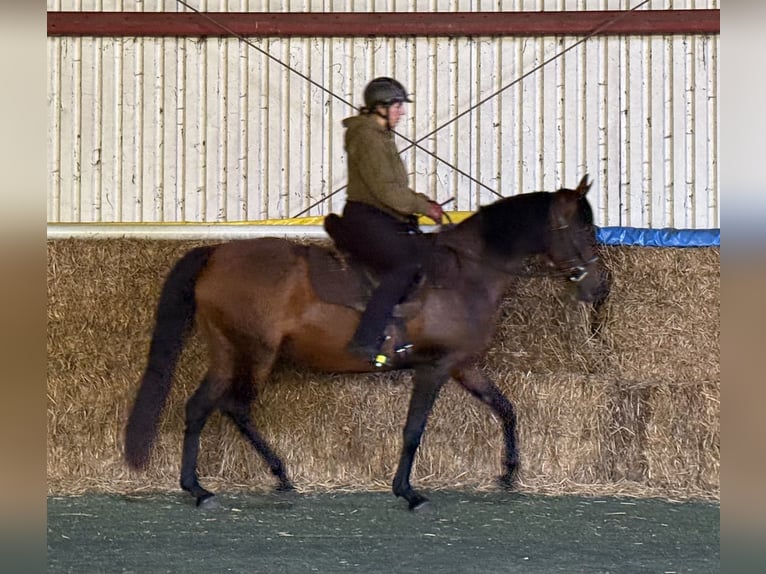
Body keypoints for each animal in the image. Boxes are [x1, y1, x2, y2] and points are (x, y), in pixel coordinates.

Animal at [124, 174, 610, 510]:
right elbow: (414, 429)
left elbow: (507, 409)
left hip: (227, 351)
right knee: (234, 407)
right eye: (584, 231)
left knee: (199, 407)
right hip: (256, 353)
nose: (599, 288)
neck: (468, 272)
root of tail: (217, 253)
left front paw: (509, 474)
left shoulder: (463, 364)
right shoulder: (435, 367)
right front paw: (408, 492)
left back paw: (203, 487)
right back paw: (269, 476)